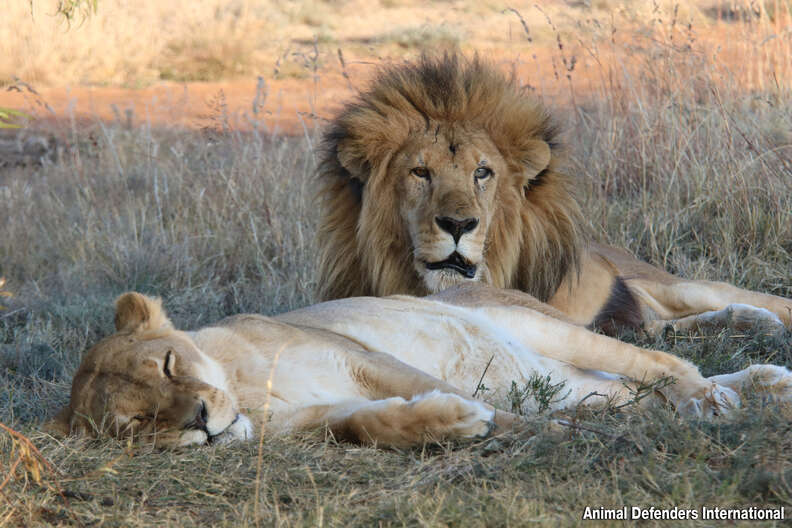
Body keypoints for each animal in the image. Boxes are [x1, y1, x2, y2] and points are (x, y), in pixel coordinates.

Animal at [318, 53, 792, 334]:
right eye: (420, 172)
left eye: (482, 173)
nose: (458, 225)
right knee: (673, 325)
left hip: (680, 285)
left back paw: (761, 317)